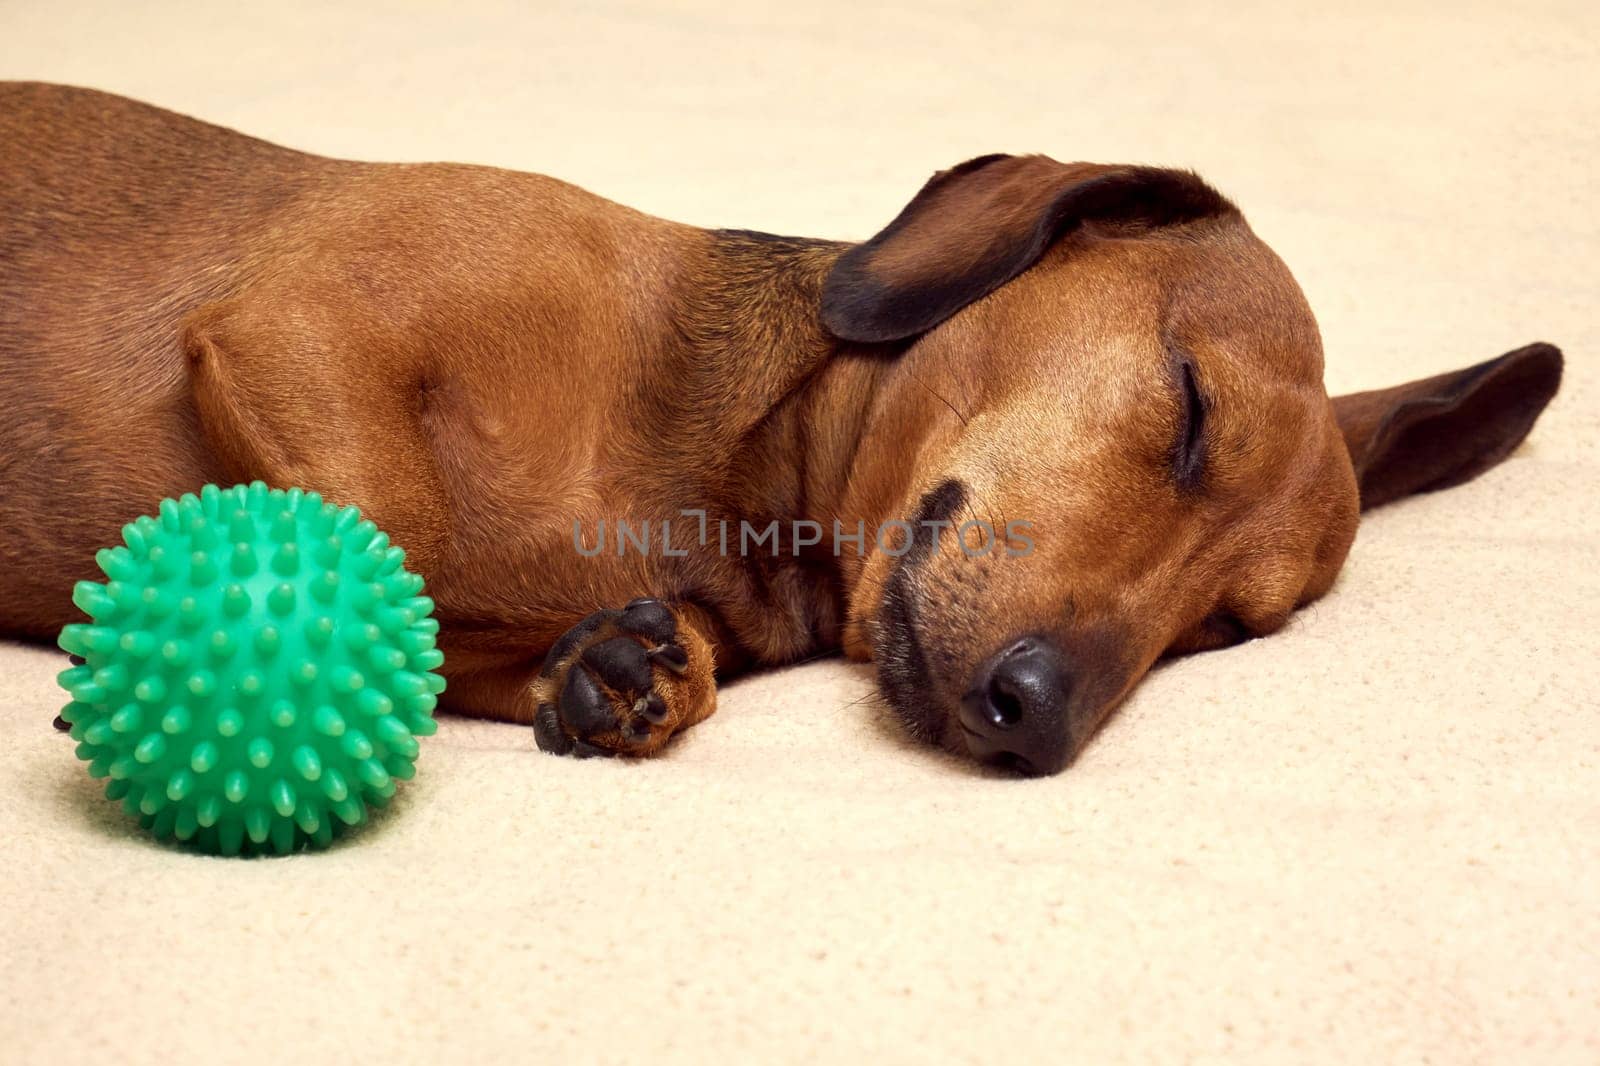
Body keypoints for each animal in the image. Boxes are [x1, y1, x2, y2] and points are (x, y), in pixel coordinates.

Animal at [0, 85, 1561, 771]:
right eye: (1190, 406)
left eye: (1233, 626)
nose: (1042, 718)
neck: (724, 478)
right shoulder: (299, 328)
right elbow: (393, 541)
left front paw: (600, 667)